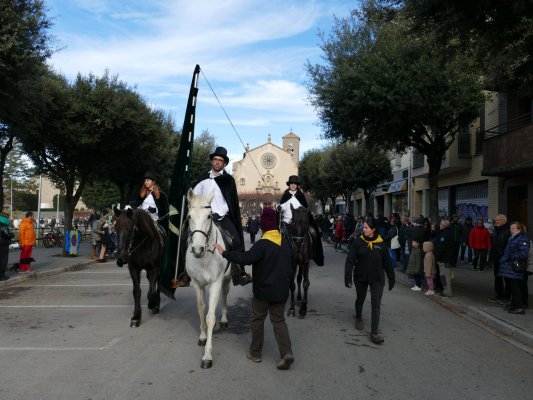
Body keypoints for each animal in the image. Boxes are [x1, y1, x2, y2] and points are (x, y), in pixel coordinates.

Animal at [185, 189, 231, 370]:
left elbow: (210, 317)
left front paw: (207, 356)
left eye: (209, 216)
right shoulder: (197, 284)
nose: (197, 249)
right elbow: (201, 309)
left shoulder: (215, 283)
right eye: (189, 216)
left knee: (224, 296)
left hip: (226, 280)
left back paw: (223, 320)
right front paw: (203, 336)